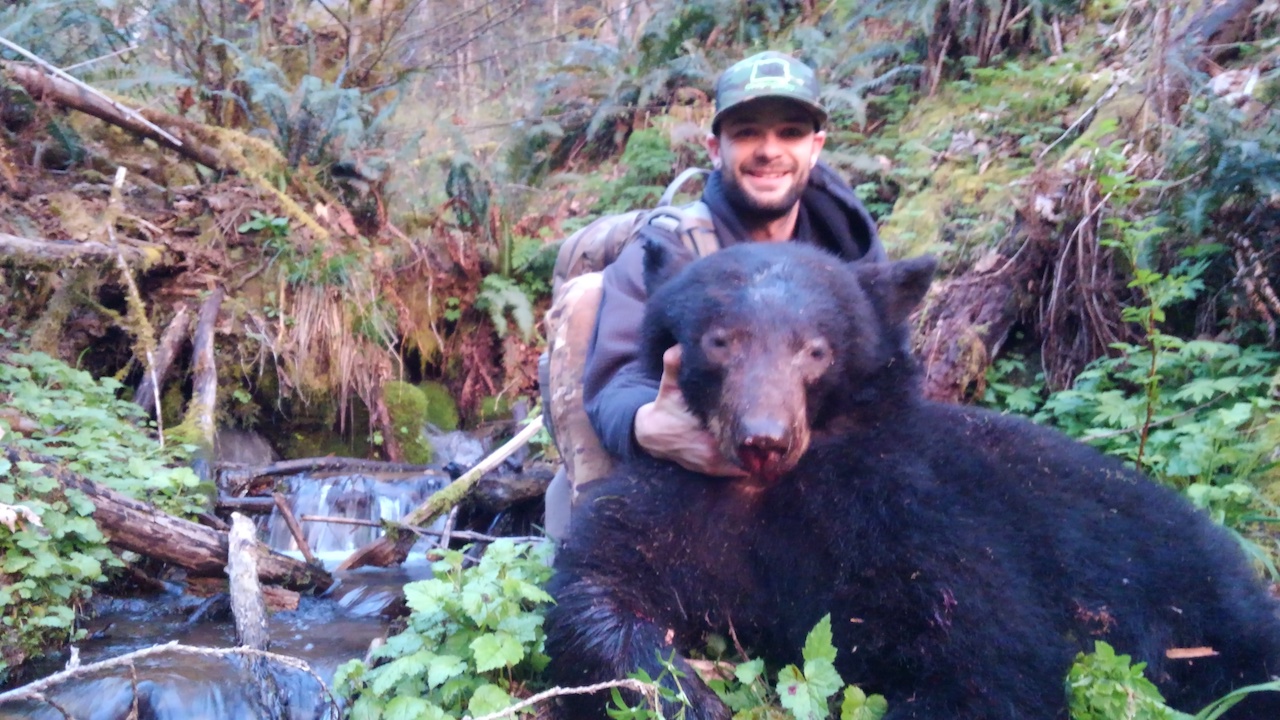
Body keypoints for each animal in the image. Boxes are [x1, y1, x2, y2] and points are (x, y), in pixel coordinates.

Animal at [543, 240, 1280, 720]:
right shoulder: (682, 500)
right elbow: (595, 589)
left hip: (1194, 593)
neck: (769, 492)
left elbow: (987, 657)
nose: (763, 438)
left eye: (815, 349)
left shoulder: (906, 511)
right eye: (721, 340)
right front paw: (683, 693)